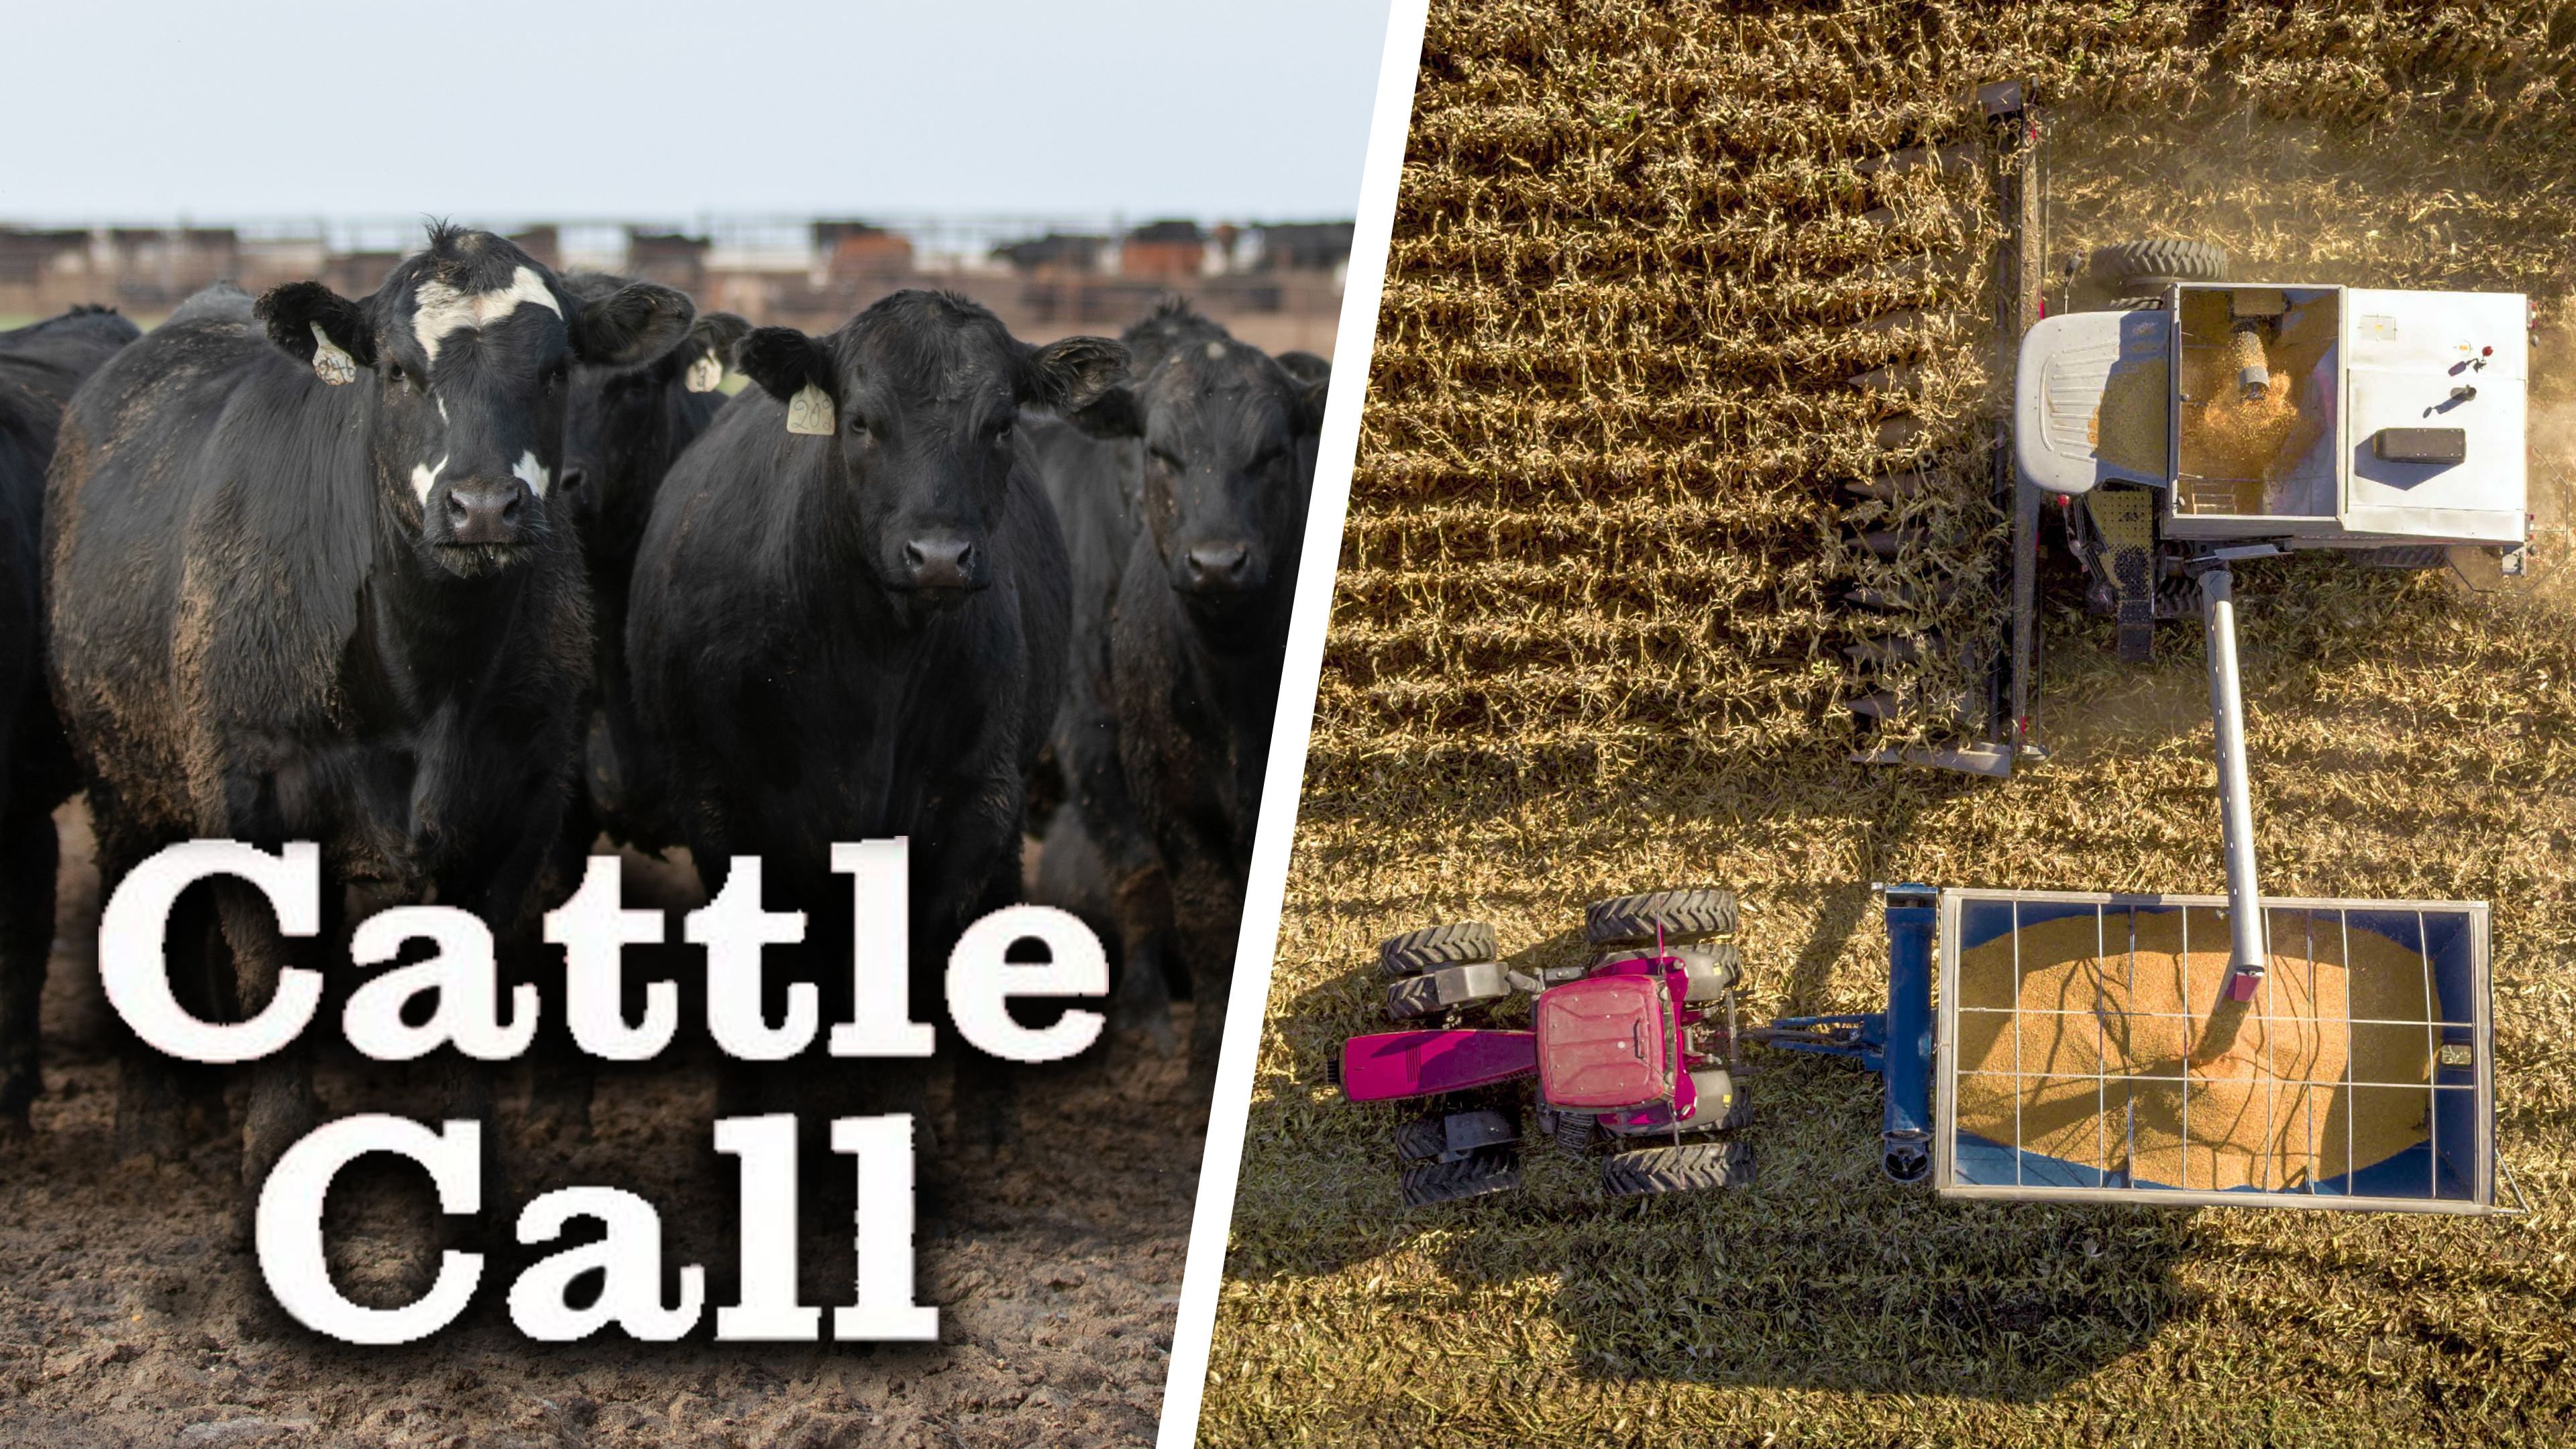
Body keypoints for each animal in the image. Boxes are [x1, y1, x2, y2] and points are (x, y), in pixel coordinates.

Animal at [44, 226, 691, 1203]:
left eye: (554, 370)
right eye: (395, 368)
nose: (482, 506)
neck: (422, 671)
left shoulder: (522, 809)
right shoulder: (248, 797)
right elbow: (268, 972)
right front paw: (273, 1159)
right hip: (122, 781)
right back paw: (154, 1126)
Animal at [1056, 309, 1326, 1080]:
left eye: (1273, 452)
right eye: (1159, 449)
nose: (1216, 564)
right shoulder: (1143, 780)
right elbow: (1197, 911)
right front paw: (1198, 1044)